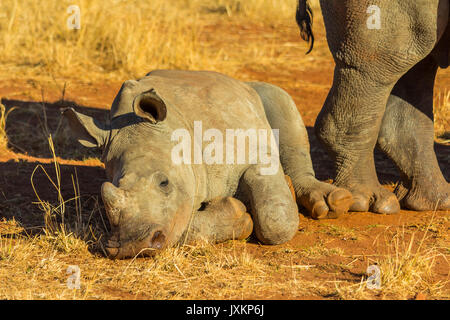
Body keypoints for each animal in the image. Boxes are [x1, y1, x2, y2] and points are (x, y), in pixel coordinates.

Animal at [63, 69, 354, 258]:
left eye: (164, 183)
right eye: (108, 191)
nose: (131, 245)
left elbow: (276, 222)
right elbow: (181, 226)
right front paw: (236, 215)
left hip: (258, 95)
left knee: (280, 101)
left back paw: (330, 202)